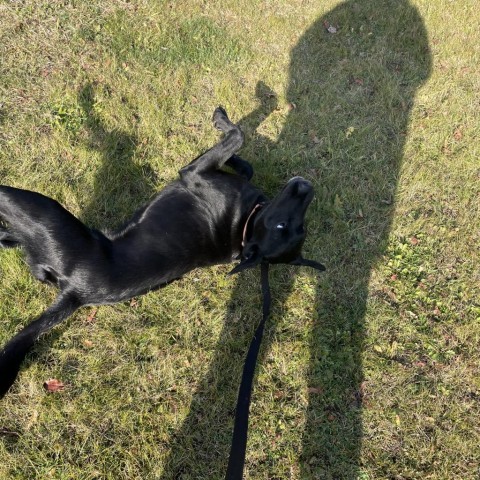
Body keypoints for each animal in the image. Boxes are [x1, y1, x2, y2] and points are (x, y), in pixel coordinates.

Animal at [0, 108, 324, 398]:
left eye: (285, 225)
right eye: (297, 226)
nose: (308, 186)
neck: (244, 226)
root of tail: (76, 294)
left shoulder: (192, 173)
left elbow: (238, 135)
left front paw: (221, 121)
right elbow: (243, 158)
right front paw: (231, 146)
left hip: (37, 207)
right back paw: (8, 238)